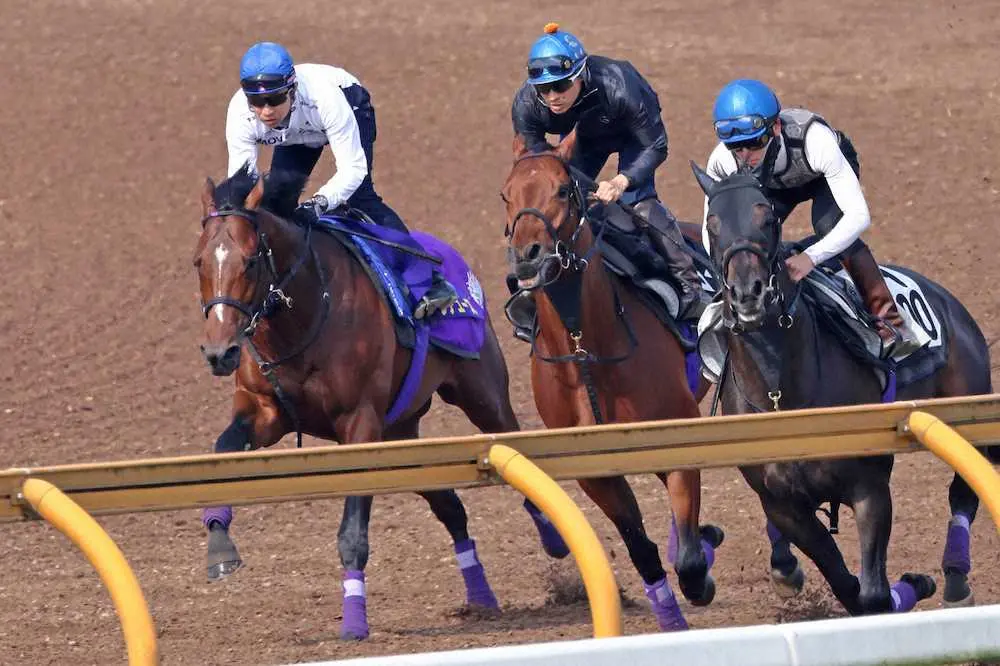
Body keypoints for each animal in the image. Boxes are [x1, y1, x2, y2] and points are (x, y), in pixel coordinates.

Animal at [192, 165, 565, 640]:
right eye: (199, 262)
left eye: (250, 261)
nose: (219, 352)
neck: (304, 317)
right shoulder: (264, 411)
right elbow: (222, 450)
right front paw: (219, 547)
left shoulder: (361, 424)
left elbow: (353, 534)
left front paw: (354, 618)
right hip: (401, 433)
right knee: (451, 509)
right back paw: (481, 599)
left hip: (481, 394)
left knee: (512, 444)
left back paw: (553, 537)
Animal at [502, 131, 724, 632]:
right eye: (507, 195)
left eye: (563, 190)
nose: (527, 258)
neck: (586, 350)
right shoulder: (595, 474)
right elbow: (641, 548)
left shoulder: (675, 440)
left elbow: (688, 559)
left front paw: (701, 569)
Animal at [691, 163, 995, 614]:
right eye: (713, 223)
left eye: (769, 218)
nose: (748, 294)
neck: (781, 395)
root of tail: (946, 300)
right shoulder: (783, 507)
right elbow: (846, 585)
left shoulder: (870, 488)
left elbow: (873, 593)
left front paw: (912, 586)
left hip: (967, 407)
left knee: (964, 491)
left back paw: (956, 576)